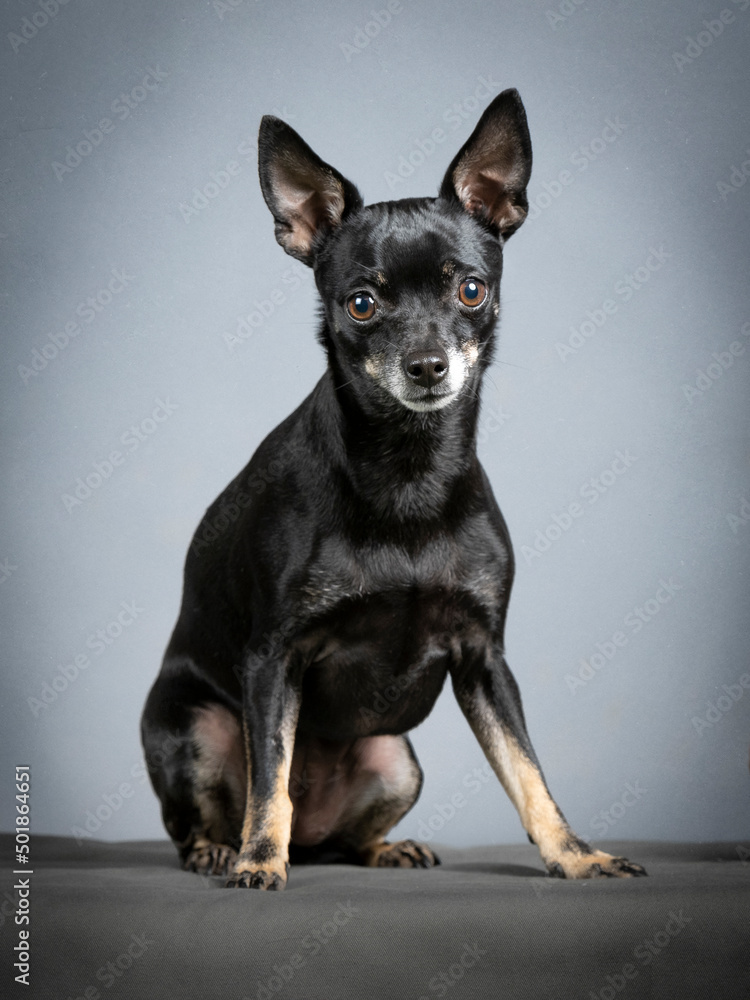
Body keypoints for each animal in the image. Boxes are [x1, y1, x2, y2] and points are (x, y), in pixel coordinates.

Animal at [141, 90, 648, 888]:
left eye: (471, 289)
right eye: (361, 304)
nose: (428, 364)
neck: (409, 467)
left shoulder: (485, 660)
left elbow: (528, 772)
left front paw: (575, 855)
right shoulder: (273, 660)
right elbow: (269, 777)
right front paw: (259, 863)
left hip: (398, 760)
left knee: (344, 837)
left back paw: (383, 848)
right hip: (196, 727)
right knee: (219, 810)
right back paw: (223, 850)